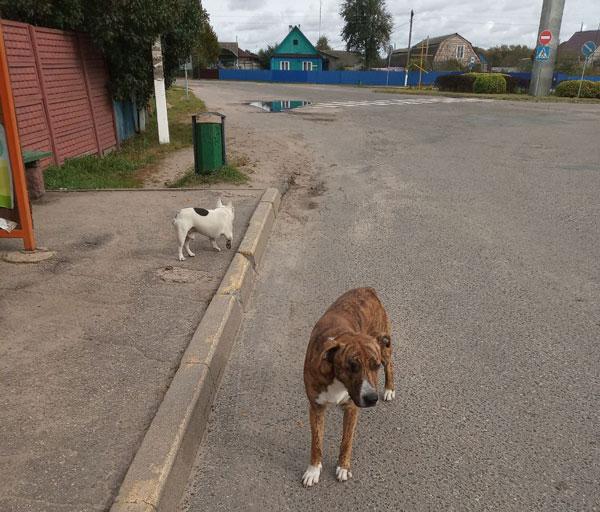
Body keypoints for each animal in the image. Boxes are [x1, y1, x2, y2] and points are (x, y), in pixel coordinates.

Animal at [300, 288, 394, 488]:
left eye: (375, 366)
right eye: (352, 366)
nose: (372, 398)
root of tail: (367, 289)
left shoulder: (351, 408)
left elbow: (346, 441)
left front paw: (343, 467)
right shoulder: (316, 407)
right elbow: (316, 442)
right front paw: (313, 470)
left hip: (384, 346)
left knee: (390, 365)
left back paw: (390, 389)